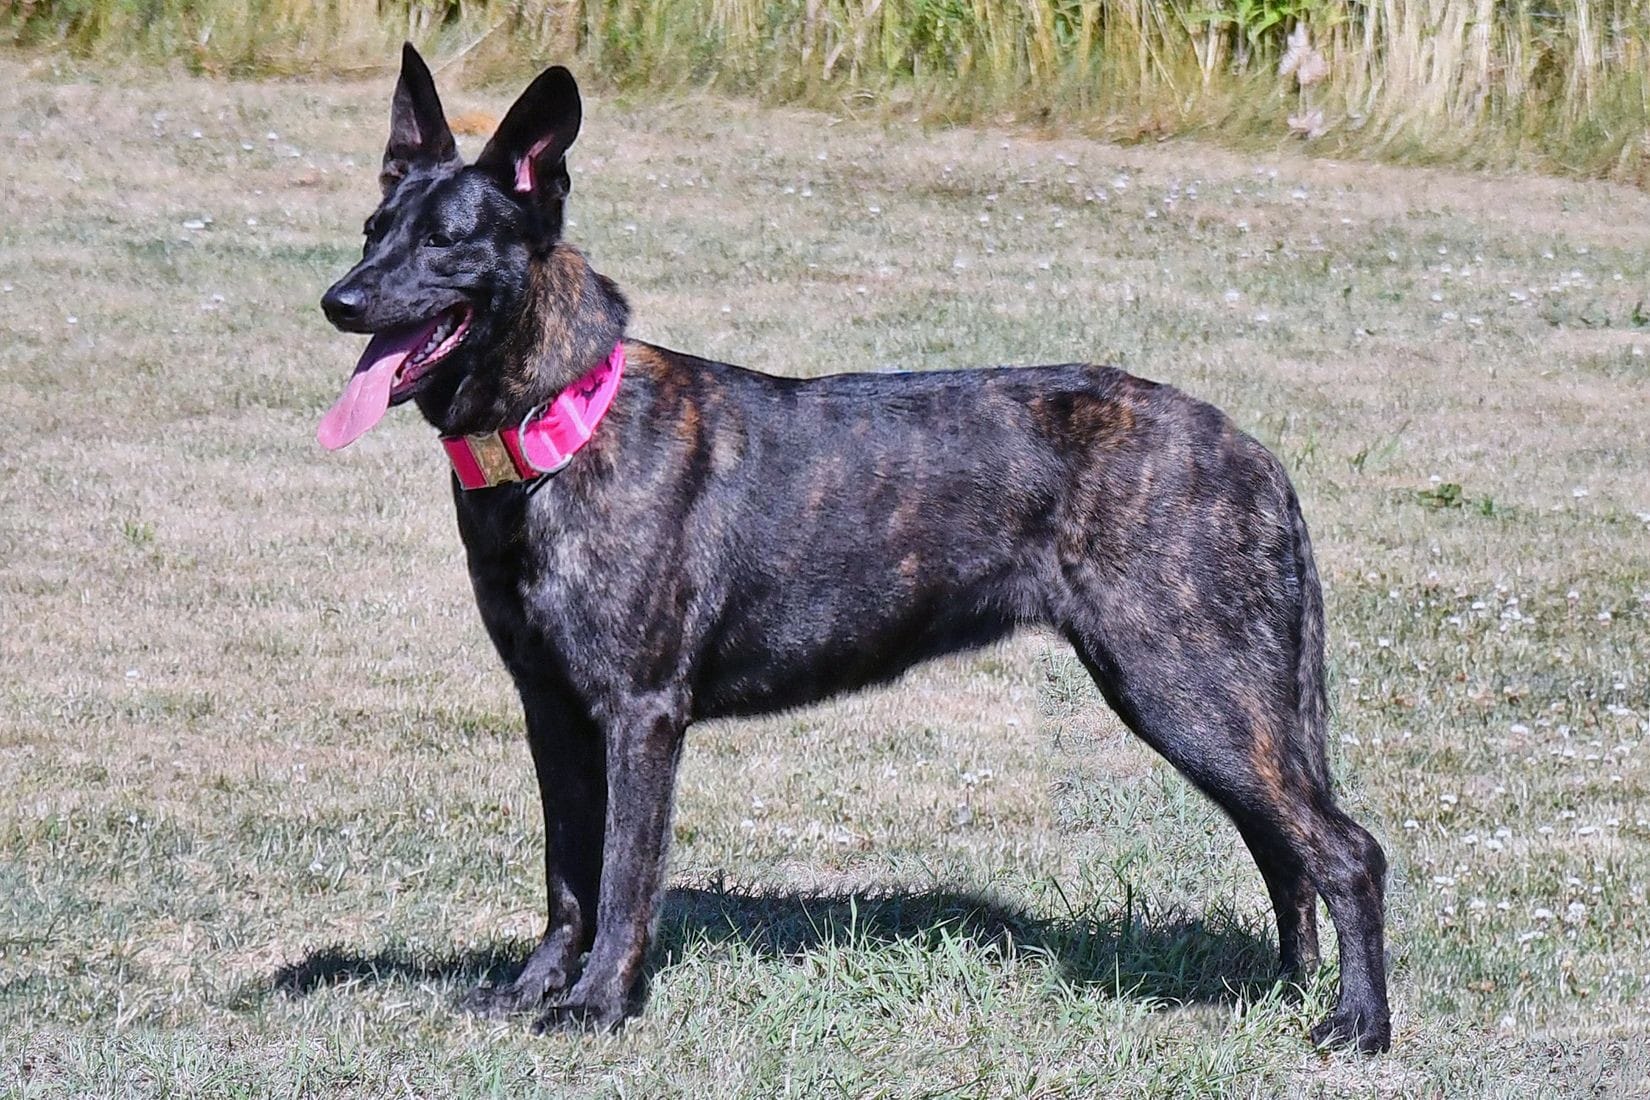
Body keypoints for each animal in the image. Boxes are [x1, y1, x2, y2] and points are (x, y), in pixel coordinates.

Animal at [311, 47, 1392, 1055]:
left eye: (447, 240)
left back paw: (1358, 1023)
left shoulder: (640, 715)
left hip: (1189, 691)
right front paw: (535, 988)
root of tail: (1256, 454)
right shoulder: (553, 712)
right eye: (374, 229)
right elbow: (566, 873)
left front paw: (599, 1004)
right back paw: (1287, 990)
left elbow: (621, 878)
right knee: (1285, 849)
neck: (560, 424)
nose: (339, 301)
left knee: (1346, 851)